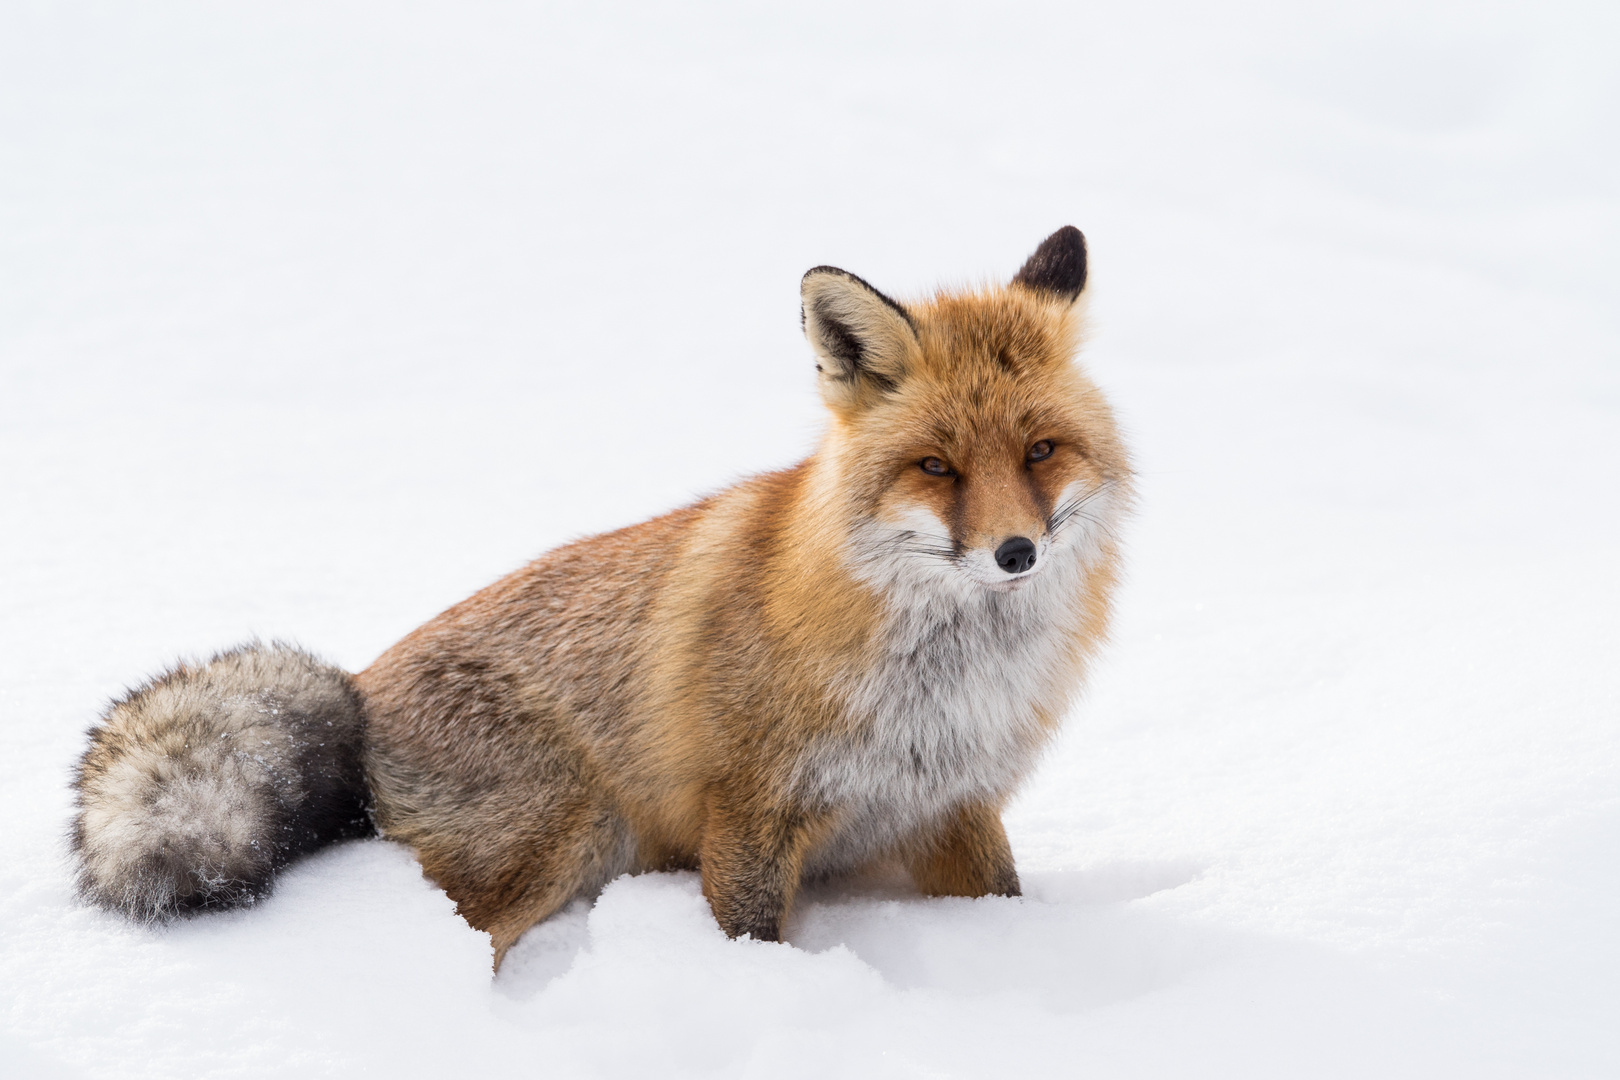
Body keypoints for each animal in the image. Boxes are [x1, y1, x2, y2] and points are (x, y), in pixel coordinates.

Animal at [72, 226, 1127, 965]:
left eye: (1040, 450)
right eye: (936, 466)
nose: (1016, 553)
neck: (944, 688)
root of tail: (358, 689)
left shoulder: (953, 808)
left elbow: (1003, 901)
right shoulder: (749, 812)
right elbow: (750, 941)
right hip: (561, 833)